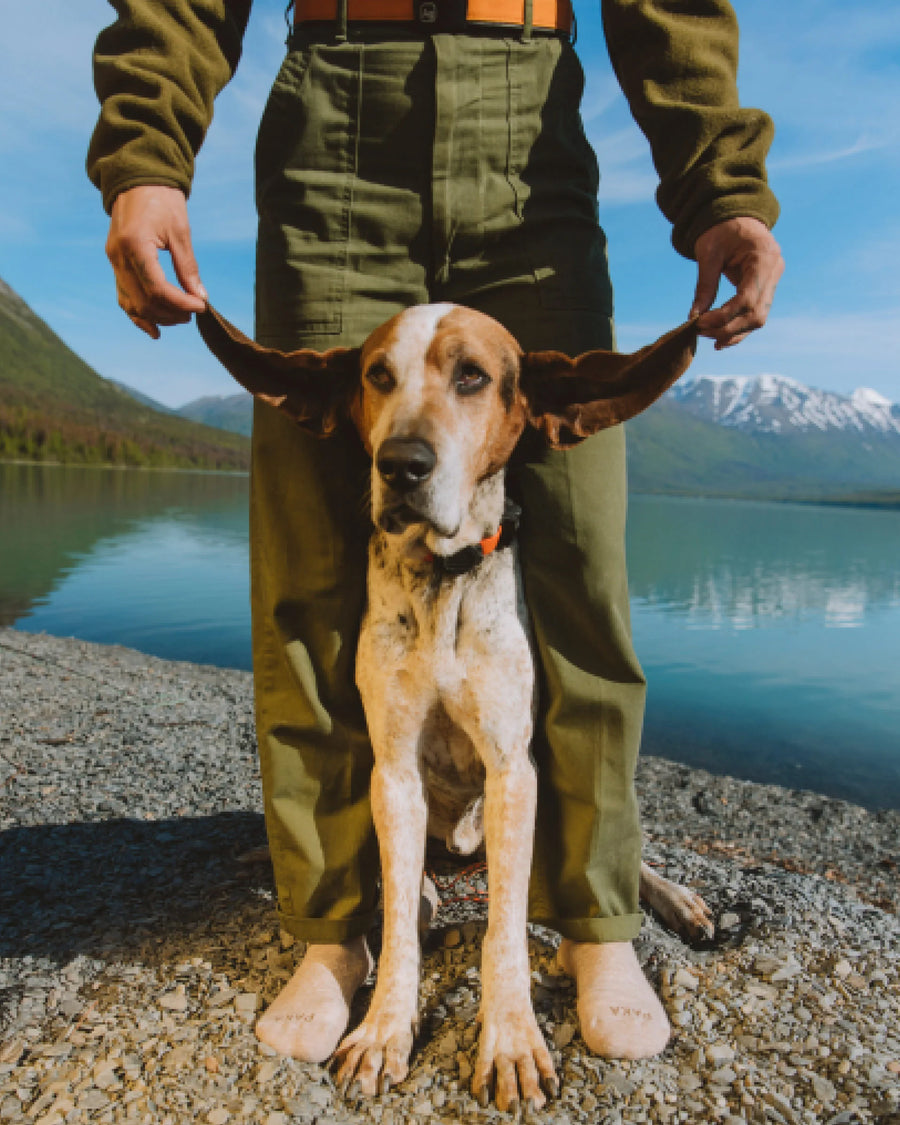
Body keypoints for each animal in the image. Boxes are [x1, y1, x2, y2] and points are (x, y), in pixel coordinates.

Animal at [194, 303, 711, 1111]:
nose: (402, 464)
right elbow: (400, 923)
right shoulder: (395, 772)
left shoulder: (512, 771)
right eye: (377, 376)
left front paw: (510, 1041)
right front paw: (383, 1031)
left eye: (472, 375)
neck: (442, 580)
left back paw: (673, 899)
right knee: (422, 891)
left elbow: (504, 932)